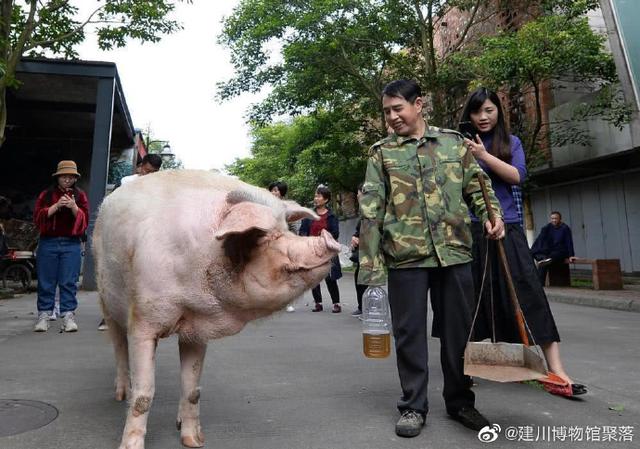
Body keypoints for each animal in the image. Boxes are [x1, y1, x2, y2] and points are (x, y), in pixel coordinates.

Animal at [93, 169, 342, 448]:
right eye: (265, 237)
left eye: (287, 230)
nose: (330, 238)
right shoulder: (143, 321)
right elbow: (144, 393)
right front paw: (129, 446)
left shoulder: (196, 329)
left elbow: (192, 389)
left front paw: (194, 442)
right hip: (106, 299)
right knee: (118, 347)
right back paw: (120, 395)